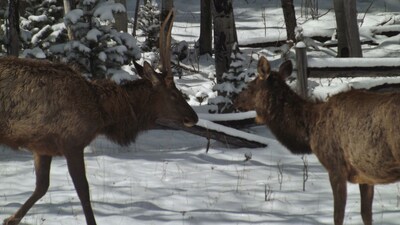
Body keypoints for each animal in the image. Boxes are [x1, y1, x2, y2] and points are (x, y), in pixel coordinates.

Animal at [1, 9, 197, 225]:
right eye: (173, 94)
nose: (193, 117)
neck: (104, 114)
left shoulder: (42, 146)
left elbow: (41, 187)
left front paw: (10, 219)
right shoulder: (72, 143)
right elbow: (83, 191)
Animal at [234, 56, 400, 225]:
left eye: (250, 85)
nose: (235, 99)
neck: (310, 130)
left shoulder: (335, 167)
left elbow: (338, 215)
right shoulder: (365, 174)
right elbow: (366, 214)